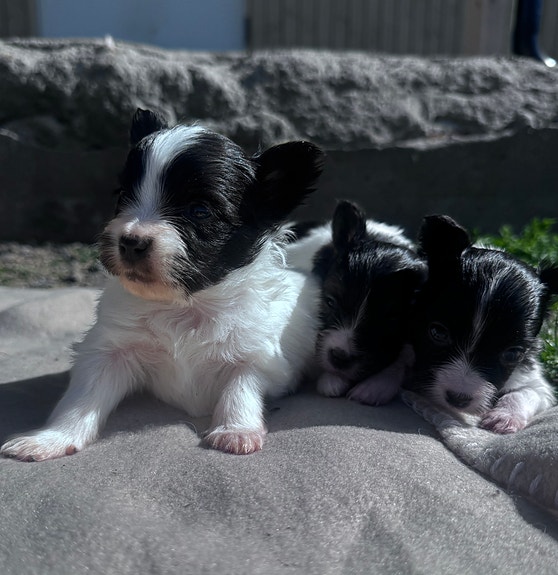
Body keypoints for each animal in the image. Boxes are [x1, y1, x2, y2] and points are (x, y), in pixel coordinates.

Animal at [1, 108, 325, 460]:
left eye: (200, 211)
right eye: (123, 196)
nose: (130, 242)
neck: (183, 305)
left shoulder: (254, 356)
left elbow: (240, 390)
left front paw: (236, 431)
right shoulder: (108, 352)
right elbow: (81, 401)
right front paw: (51, 439)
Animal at [286, 201, 427, 405]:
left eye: (390, 319)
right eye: (329, 302)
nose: (339, 357)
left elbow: (405, 354)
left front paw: (376, 385)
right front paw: (331, 379)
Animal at [406, 214, 558, 433]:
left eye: (513, 354)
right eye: (438, 333)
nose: (458, 399)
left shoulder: (534, 379)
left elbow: (526, 392)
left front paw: (504, 417)